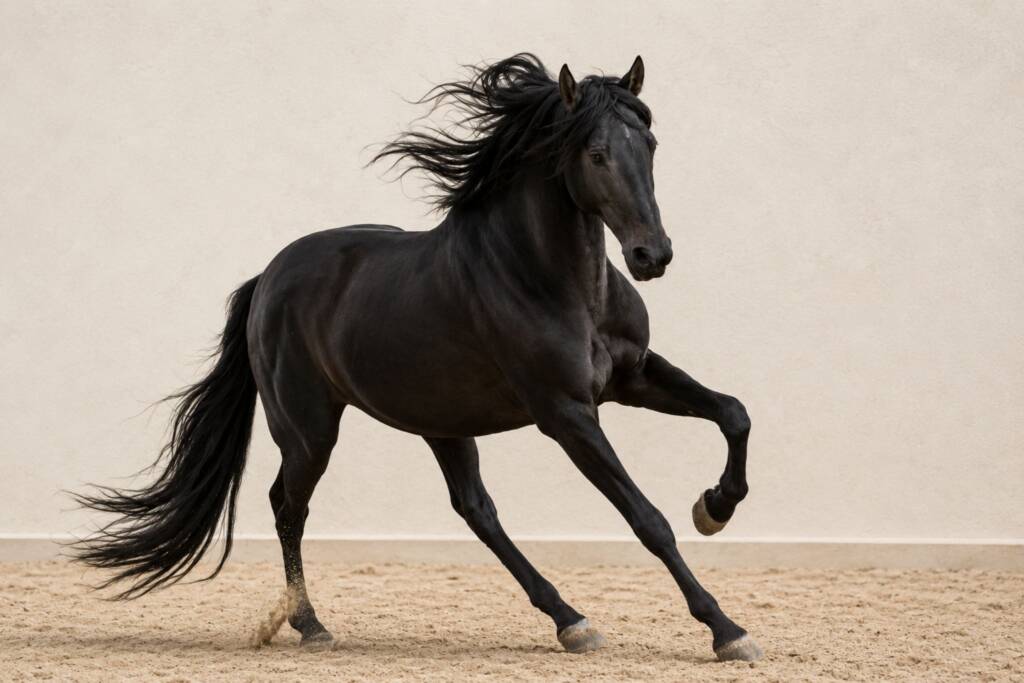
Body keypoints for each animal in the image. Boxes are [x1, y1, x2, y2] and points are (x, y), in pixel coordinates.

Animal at [73, 53, 760, 662]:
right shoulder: (566, 413)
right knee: (288, 507)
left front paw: (714, 508)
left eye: (649, 144)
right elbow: (647, 519)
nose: (652, 256)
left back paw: (572, 622)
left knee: (476, 510)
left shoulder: (633, 376)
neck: (552, 281)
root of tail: (267, 279)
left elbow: (733, 412)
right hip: (310, 429)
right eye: (595, 153)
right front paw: (728, 632)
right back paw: (311, 625)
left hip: (442, 423)